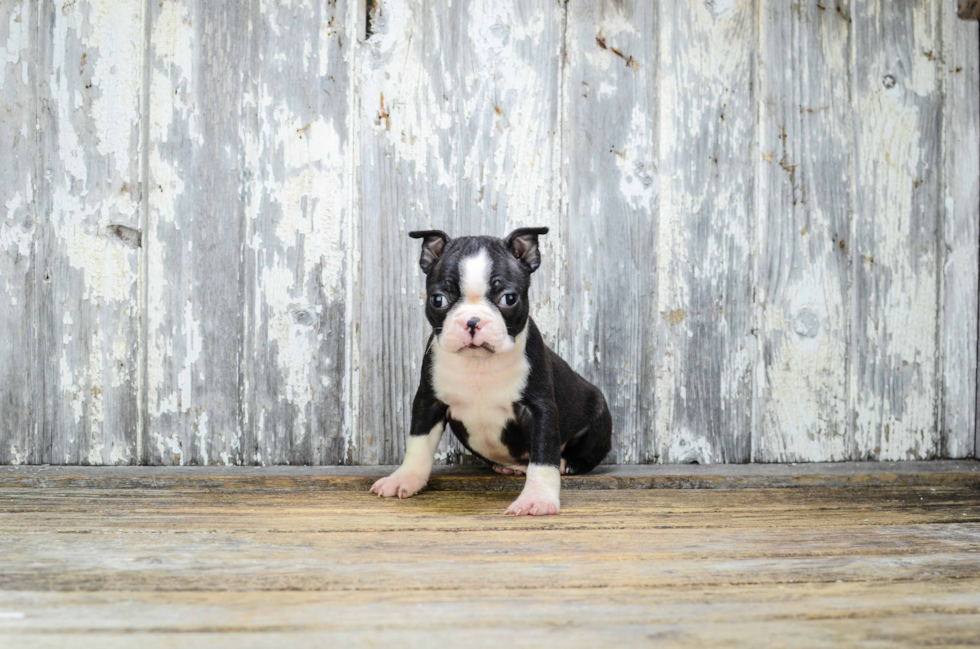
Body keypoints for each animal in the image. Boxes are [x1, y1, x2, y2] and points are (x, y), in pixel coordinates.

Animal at [370, 225, 612, 512]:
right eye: (438, 299)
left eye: (509, 298)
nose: (473, 321)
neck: (479, 364)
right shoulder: (428, 401)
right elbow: (418, 444)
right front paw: (404, 479)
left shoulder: (540, 408)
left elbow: (543, 454)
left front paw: (537, 498)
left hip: (599, 417)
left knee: (584, 454)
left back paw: (567, 463)